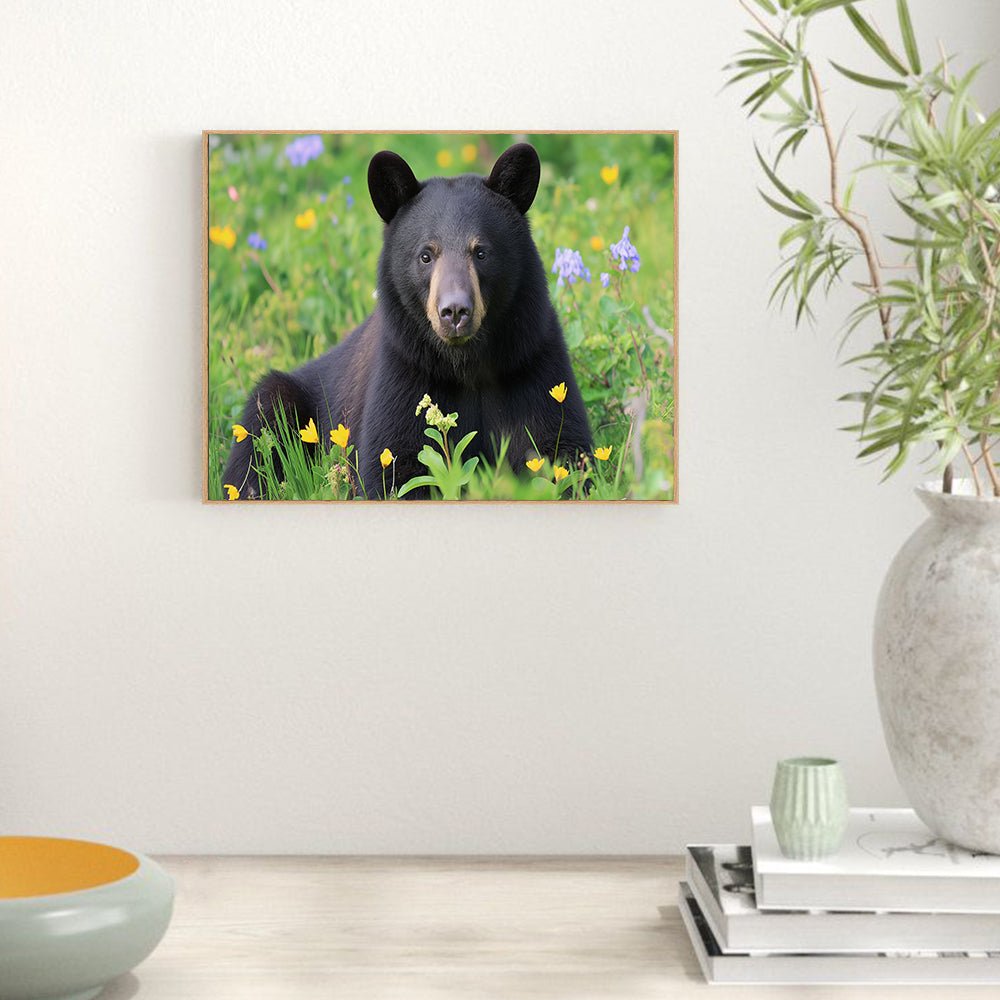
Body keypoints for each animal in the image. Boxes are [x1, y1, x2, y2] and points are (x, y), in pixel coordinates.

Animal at [221, 142, 593, 499]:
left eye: (481, 252)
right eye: (426, 255)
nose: (454, 312)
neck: (466, 365)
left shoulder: (531, 362)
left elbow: (561, 452)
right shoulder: (404, 372)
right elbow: (392, 467)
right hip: (276, 402)